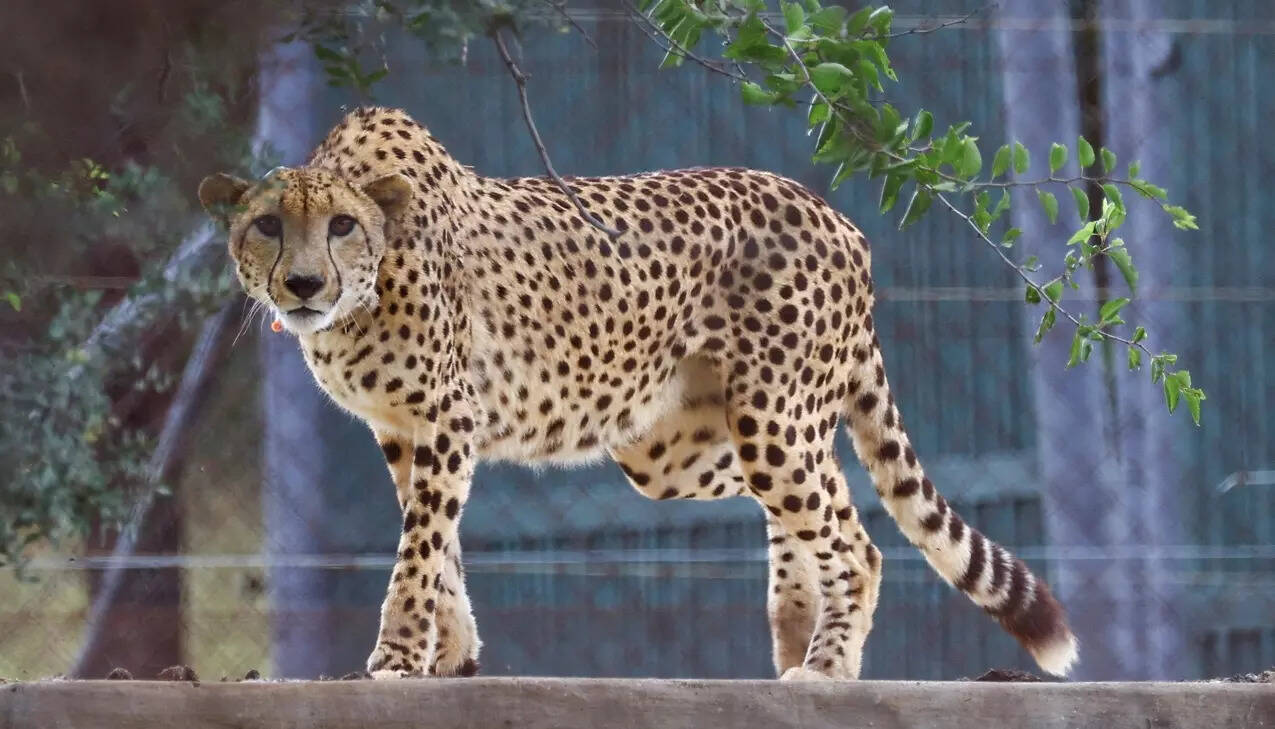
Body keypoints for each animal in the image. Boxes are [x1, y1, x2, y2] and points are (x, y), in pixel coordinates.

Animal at [199, 105, 1078, 680]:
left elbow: (418, 547)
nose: (303, 283)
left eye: (341, 226)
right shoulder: (402, 430)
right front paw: (452, 652)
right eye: (267, 225)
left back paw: (826, 665)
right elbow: (437, 544)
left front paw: (395, 656)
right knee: (823, 487)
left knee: (852, 535)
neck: (361, 294)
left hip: (766, 417)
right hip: (682, 447)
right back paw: (795, 629)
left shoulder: (448, 414)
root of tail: (834, 214)